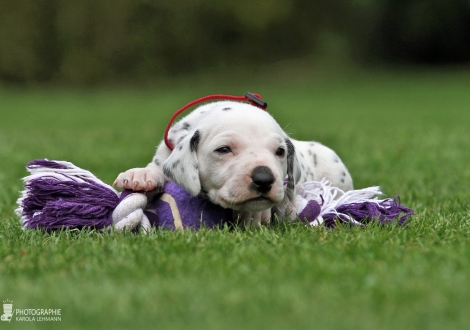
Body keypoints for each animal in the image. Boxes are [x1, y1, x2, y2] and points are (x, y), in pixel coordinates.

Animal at [112, 102, 350, 226]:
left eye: (280, 152)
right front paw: (141, 176)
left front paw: (254, 214)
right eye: (224, 149)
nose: (264, 179)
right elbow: (156, 168)